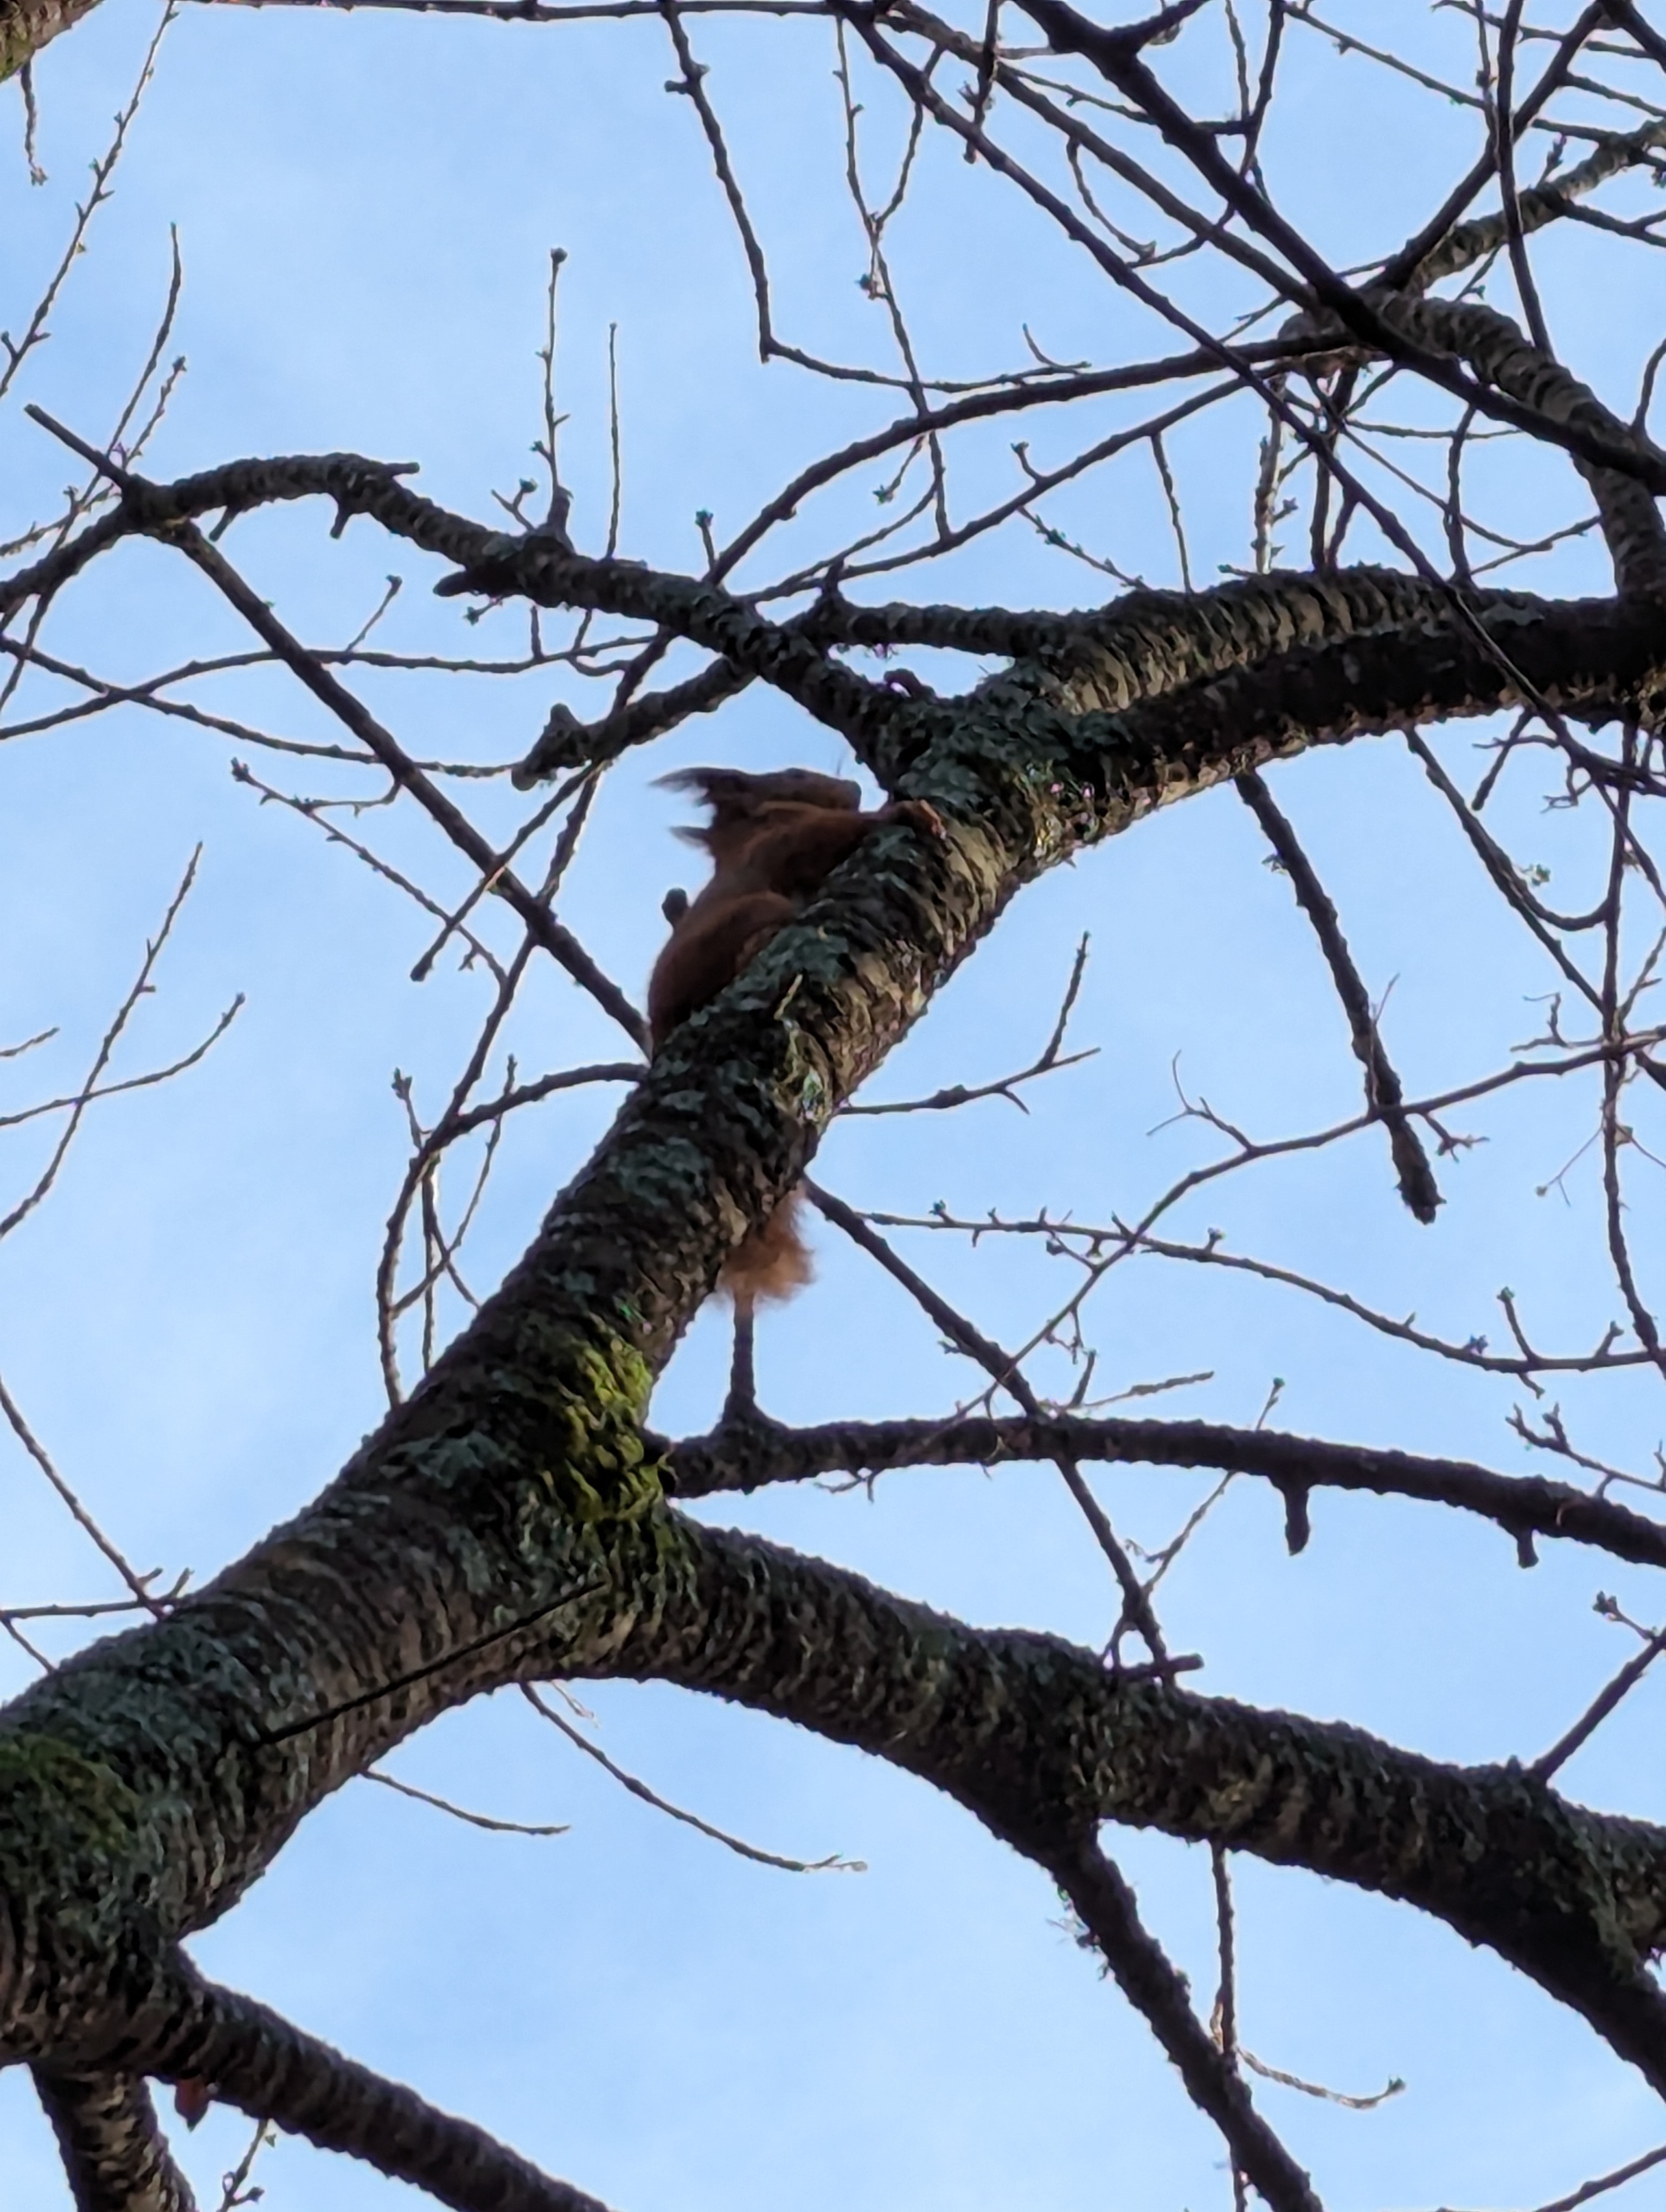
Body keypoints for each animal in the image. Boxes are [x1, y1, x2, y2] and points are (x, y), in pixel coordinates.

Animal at [648, 764, 943, 1312]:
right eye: (793, 774)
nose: (851, 787)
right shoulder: (785, 838)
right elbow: (822, 839)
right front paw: (900, 812)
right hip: (747, 914)